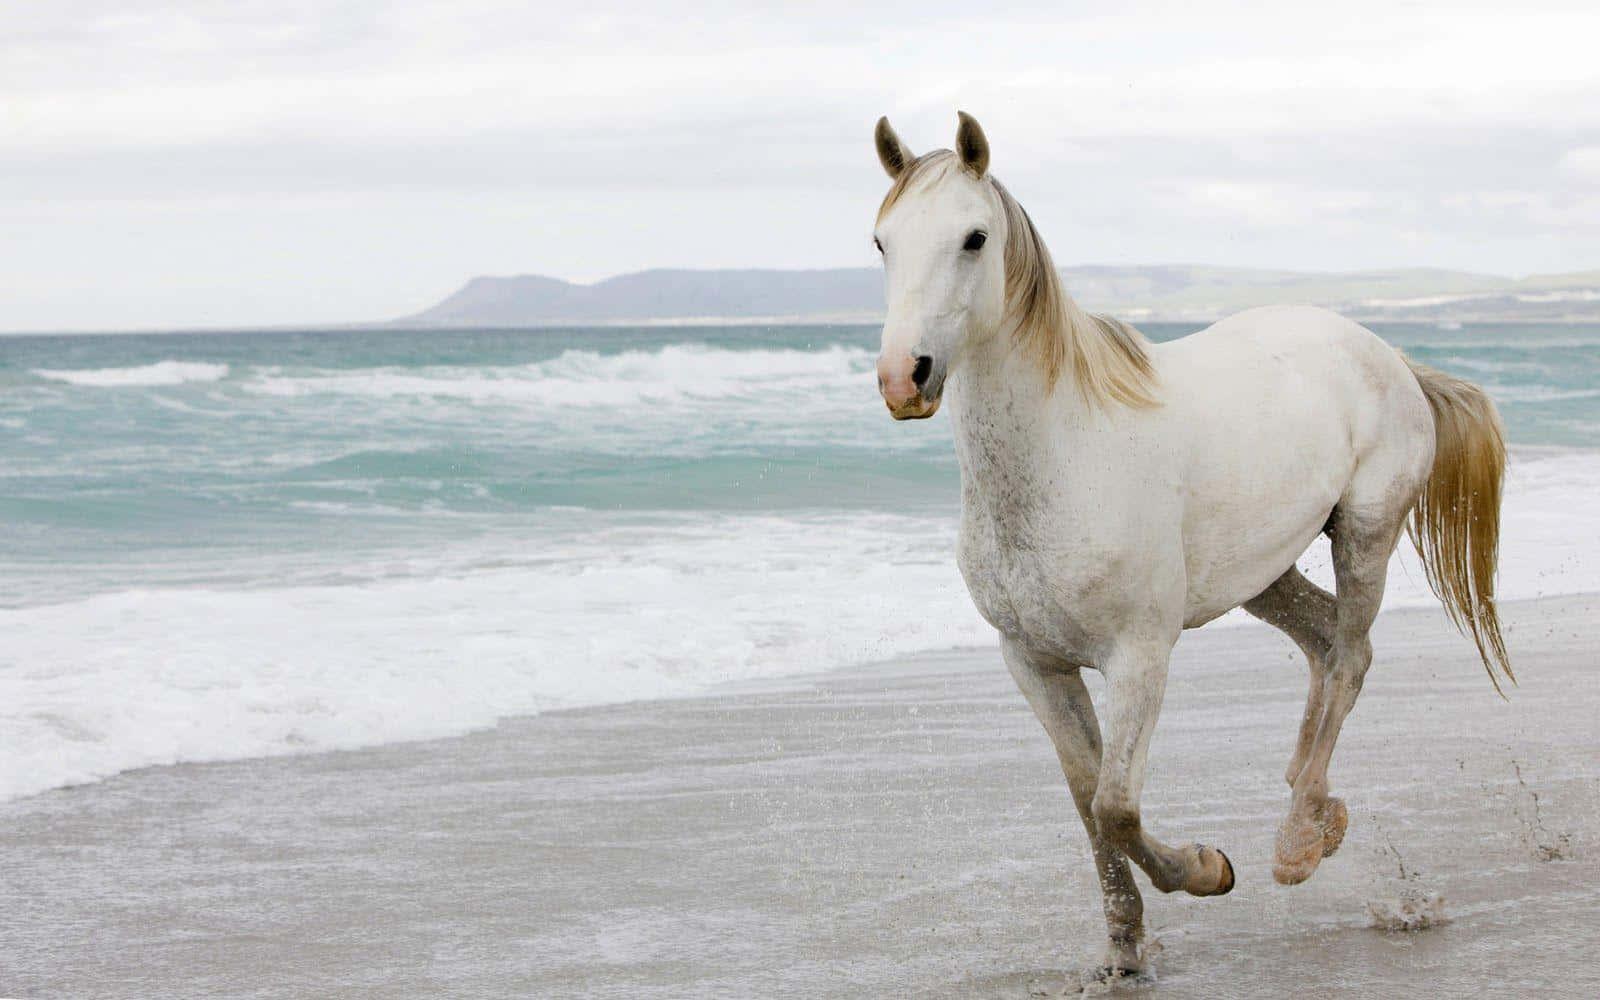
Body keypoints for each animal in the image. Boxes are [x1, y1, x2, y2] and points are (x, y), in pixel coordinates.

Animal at [869, 112, 1511, 979]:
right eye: (882, 241)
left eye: (973, 237)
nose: (905, 377)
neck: (1066, 453)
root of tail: (1387, 354)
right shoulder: (1034, 662)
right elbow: (1087, 802)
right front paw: (1123, 949)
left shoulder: (1140, 655)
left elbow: (1115, 804)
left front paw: (1209, 870)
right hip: (1263, 573)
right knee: (1325, 644)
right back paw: (1313, 803)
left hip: (1366, 535)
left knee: (1350, 655)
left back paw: (1297, 841)